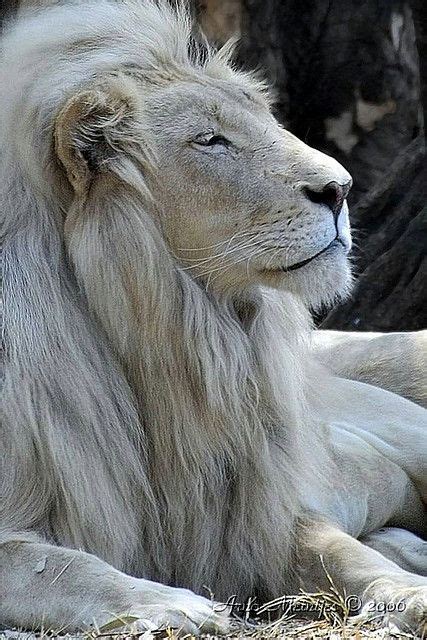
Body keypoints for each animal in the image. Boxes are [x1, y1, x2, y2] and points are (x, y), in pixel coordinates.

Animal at [0, 1, 427, 636]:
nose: (341, 187)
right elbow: (61, 565)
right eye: (211, 140)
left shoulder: (258, 516)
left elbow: (344, 553)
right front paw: (169, 605)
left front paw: (412, 594)